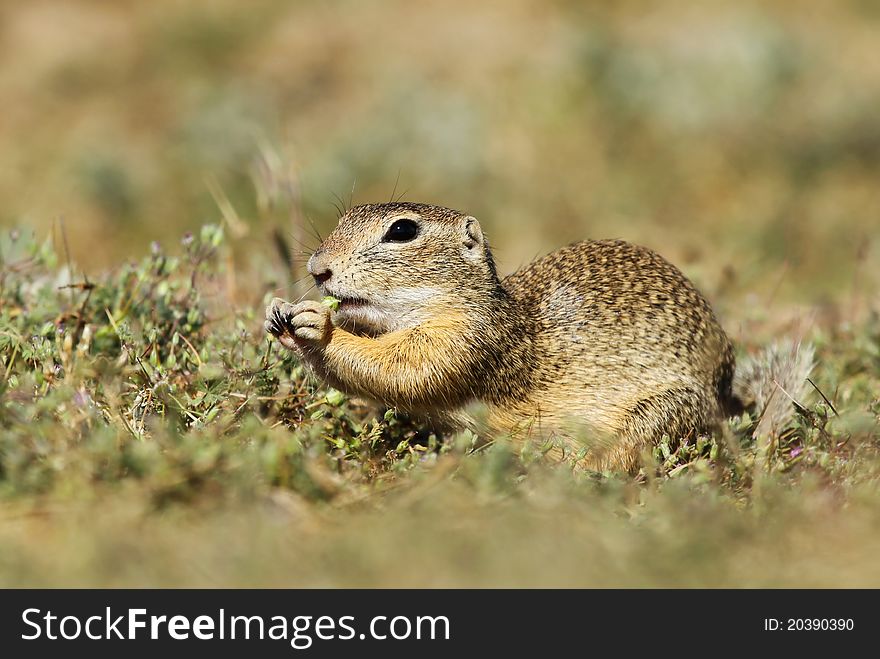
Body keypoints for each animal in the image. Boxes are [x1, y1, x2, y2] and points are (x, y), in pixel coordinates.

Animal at [264, 202, 740, 474]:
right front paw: (279, 314)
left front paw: (320, 328)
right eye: (343, 218)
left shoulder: (463, 342)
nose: (317, 268)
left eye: (402, 231)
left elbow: (400, 369)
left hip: (660, 414)